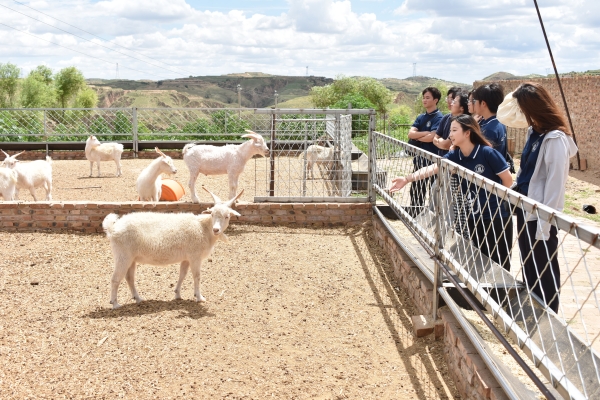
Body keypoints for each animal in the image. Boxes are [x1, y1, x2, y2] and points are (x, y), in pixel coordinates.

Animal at [102, 188, 243, 310]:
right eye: (212, 214)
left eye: (227, 216)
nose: (216, 229)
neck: (203, 228)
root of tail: (113, 228)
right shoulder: (195, 256)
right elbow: (197, 276)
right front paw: (199, 297)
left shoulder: (186, 258)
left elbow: (182, 274)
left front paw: (177, 294)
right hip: (123, 255)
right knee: (115, 279)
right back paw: (115, 303)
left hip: (131, 258)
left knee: (129, 278)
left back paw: (138, 298)